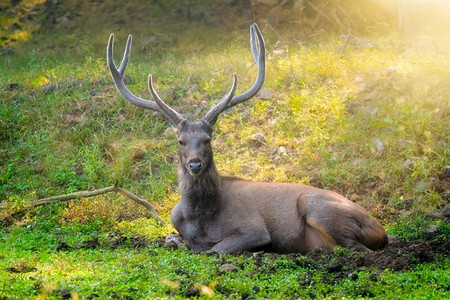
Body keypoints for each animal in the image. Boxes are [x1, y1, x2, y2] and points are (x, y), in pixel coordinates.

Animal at [107, 23, 388, 254]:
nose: (195, 164)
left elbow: (213, 250)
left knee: (358, 249)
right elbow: (173, 240)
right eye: (180, 141)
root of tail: (382, 231)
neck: (199, 219)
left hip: (318, 207)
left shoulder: (254, 228)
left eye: (208, 139)